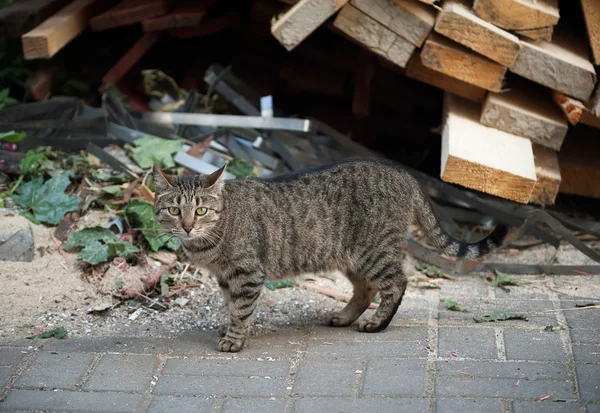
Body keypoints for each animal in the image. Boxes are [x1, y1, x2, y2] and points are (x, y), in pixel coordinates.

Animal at [151, 158, 506, 350]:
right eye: (174, 210)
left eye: (200, 210)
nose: (186, 227)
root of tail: (403, 172)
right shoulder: (226, 277)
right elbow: (230, 305)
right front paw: (228, 326)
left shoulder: (247, 273)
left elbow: (240, 309)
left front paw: (235, 339)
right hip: (352, 258)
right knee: (365, 290)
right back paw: (345, 317)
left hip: (374, 251)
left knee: (397, 283)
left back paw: (377, 323)